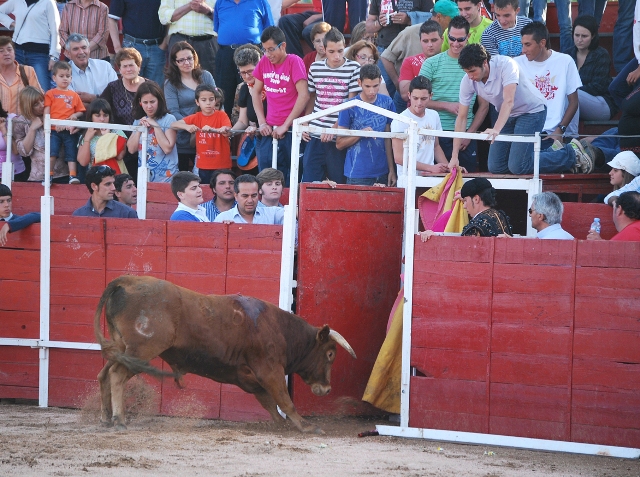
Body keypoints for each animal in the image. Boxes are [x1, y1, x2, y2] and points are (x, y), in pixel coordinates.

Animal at [93, 274, 358, 434]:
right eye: (330, 354)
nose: (327, 389)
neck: (281, 329)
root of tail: (126, 281)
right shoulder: (270, 370)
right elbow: (284, 399)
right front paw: (306, 426)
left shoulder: (248, 377)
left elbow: (270, 402)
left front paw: (281, 425)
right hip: (141, 350)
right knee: (116, 374)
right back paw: (119, 420)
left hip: (123, 348)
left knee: (104, 374)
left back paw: (105, 418)